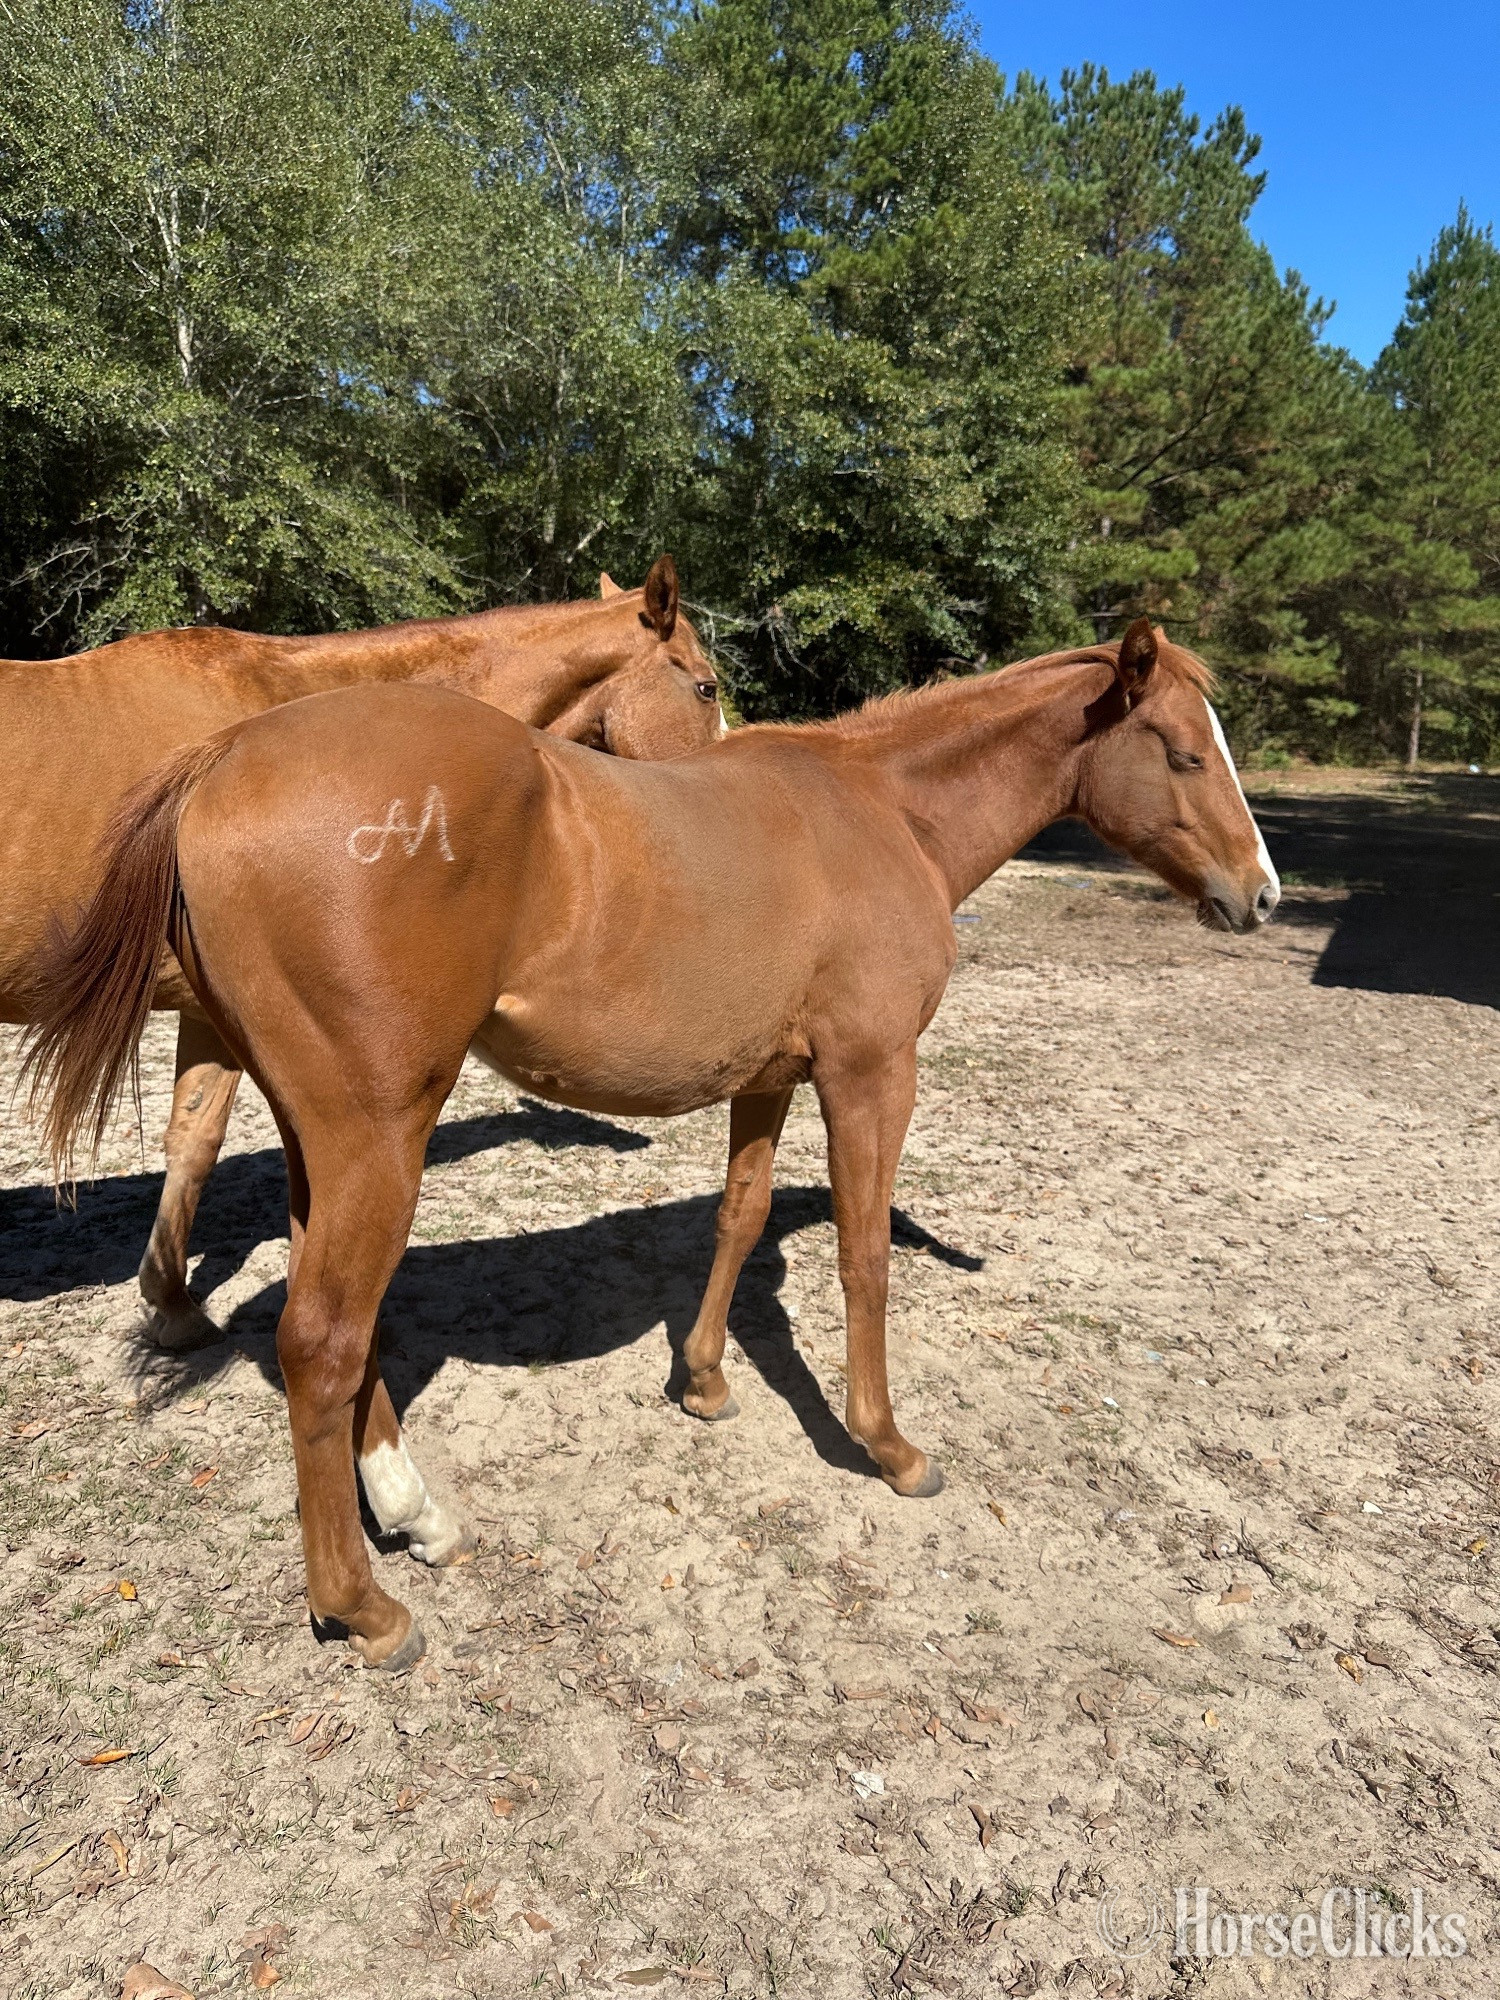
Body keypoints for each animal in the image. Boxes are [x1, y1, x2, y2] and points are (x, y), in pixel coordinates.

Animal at [2, 557, 720, 1347]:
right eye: (707, 686)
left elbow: (188, 1137)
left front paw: (167, 1297)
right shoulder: (210, 1014)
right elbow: (199, 1141)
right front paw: (176, 1305)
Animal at [25, 619, 1279, 1671]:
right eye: (1182, 752)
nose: (1262, 894)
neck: (880, 809)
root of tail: (222, 758)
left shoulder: (768, 1081)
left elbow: (741, 1213)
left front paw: (707, 1380)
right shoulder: (872, 1074)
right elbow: (864, 1255)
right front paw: (887, 1445)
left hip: (317, 1137)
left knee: (343, 1328)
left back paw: (415, 1517)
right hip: (377, 1134)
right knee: (322, 1338)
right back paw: (366, 1607)